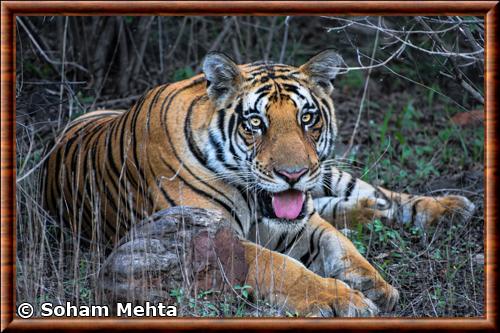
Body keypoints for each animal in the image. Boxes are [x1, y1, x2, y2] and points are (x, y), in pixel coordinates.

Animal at [44, 50, 476, 316]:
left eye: (306, 118)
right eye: (256, 123)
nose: (293, 174)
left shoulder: (302, 222)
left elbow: (341, 246)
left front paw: (374, 284)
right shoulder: (205, 240)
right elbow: (281, 266)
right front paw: (342, 298)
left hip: (330, 175)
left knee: (383, 198)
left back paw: (451, 208)